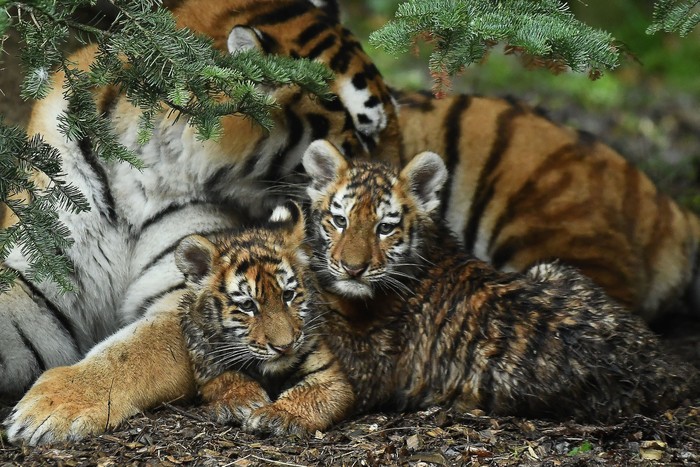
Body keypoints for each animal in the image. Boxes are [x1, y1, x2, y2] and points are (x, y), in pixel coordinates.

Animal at [0, 0, 400, 416]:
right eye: (363, 135)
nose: (399, 193)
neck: (145, 157)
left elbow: (129, 352)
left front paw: (53, 405)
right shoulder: (44, 267)